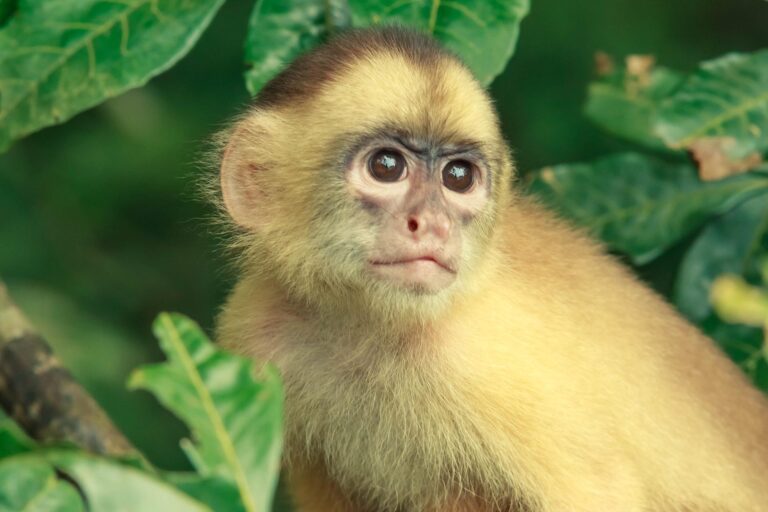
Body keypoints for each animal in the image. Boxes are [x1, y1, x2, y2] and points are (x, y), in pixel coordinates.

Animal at [214, 27, 768, 512]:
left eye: (458, 176)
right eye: (386, 167)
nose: (433, 224)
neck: (365, 327)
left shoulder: (477, 358)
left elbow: (598, 488)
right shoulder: (254, 331)